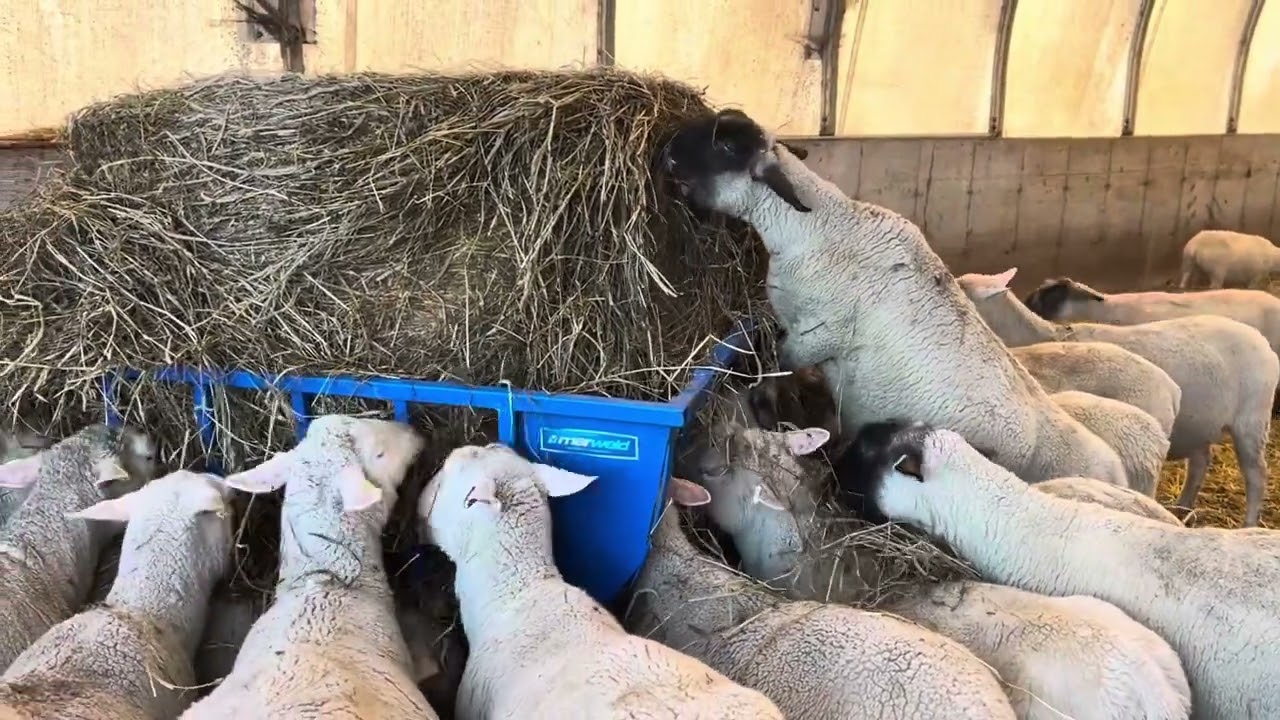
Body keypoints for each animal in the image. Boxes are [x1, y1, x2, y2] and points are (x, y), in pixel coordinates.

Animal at [662, 108, 1128, 487]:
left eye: (725, 146)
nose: (667, 149)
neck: (819, 229)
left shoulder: (815, 336)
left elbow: (775, 372)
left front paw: (768, 411)